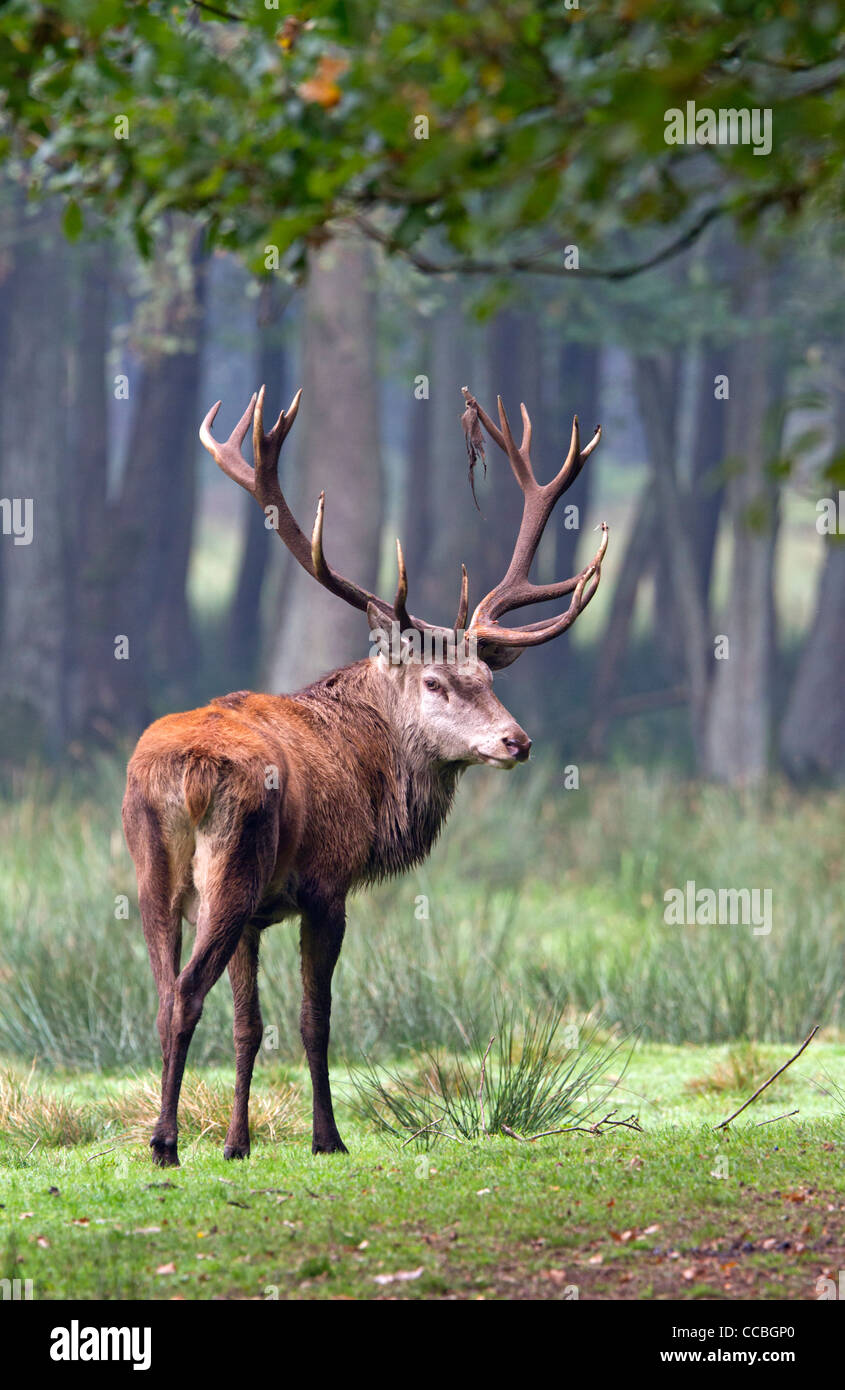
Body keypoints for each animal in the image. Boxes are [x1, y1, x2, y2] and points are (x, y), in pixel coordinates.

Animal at [122, 384, 607, 1166]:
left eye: (485, 676)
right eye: (436, 682)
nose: (518, 741)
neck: (371, 774)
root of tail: (181, 775)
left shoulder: (259, 916)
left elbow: (249, 1025)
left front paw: (237, 1144)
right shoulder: (326, 882)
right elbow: (314, 1019)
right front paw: (328, 1138)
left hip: (154, 871)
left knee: (165, 990)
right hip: (235, 860)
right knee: (188, 991)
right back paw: (164, 1142)